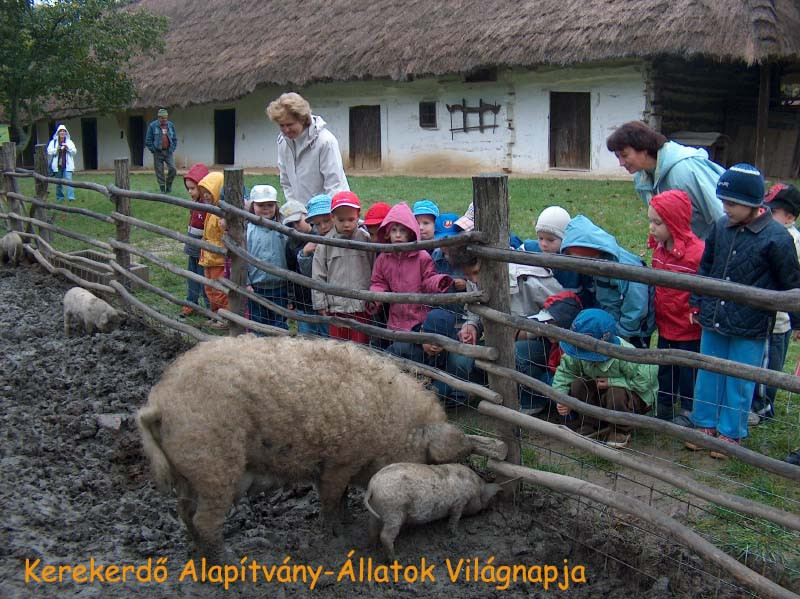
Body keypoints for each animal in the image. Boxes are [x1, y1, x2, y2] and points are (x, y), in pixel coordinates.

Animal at [138, 336, 476, 564]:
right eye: (427, 462)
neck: (391, 423)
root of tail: (158, 403)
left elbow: (341, 497)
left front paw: (347, 522)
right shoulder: (339, 461)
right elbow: (330, 500)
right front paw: (339, 536)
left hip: (188, 473)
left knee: (184, 512)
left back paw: (198, 553)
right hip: (213, 466)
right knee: (204, 520)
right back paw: (231, 562)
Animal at [364, 464, 500, 564]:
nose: (491, 508)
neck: (475, 489)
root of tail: (372, 486)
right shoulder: (459, 502)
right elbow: (455, 518)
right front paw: (456, 534)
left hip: (376, 512)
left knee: (372, 528)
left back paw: (372, 547)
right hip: (393, 511)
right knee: (385, 536)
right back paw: (396, 559)